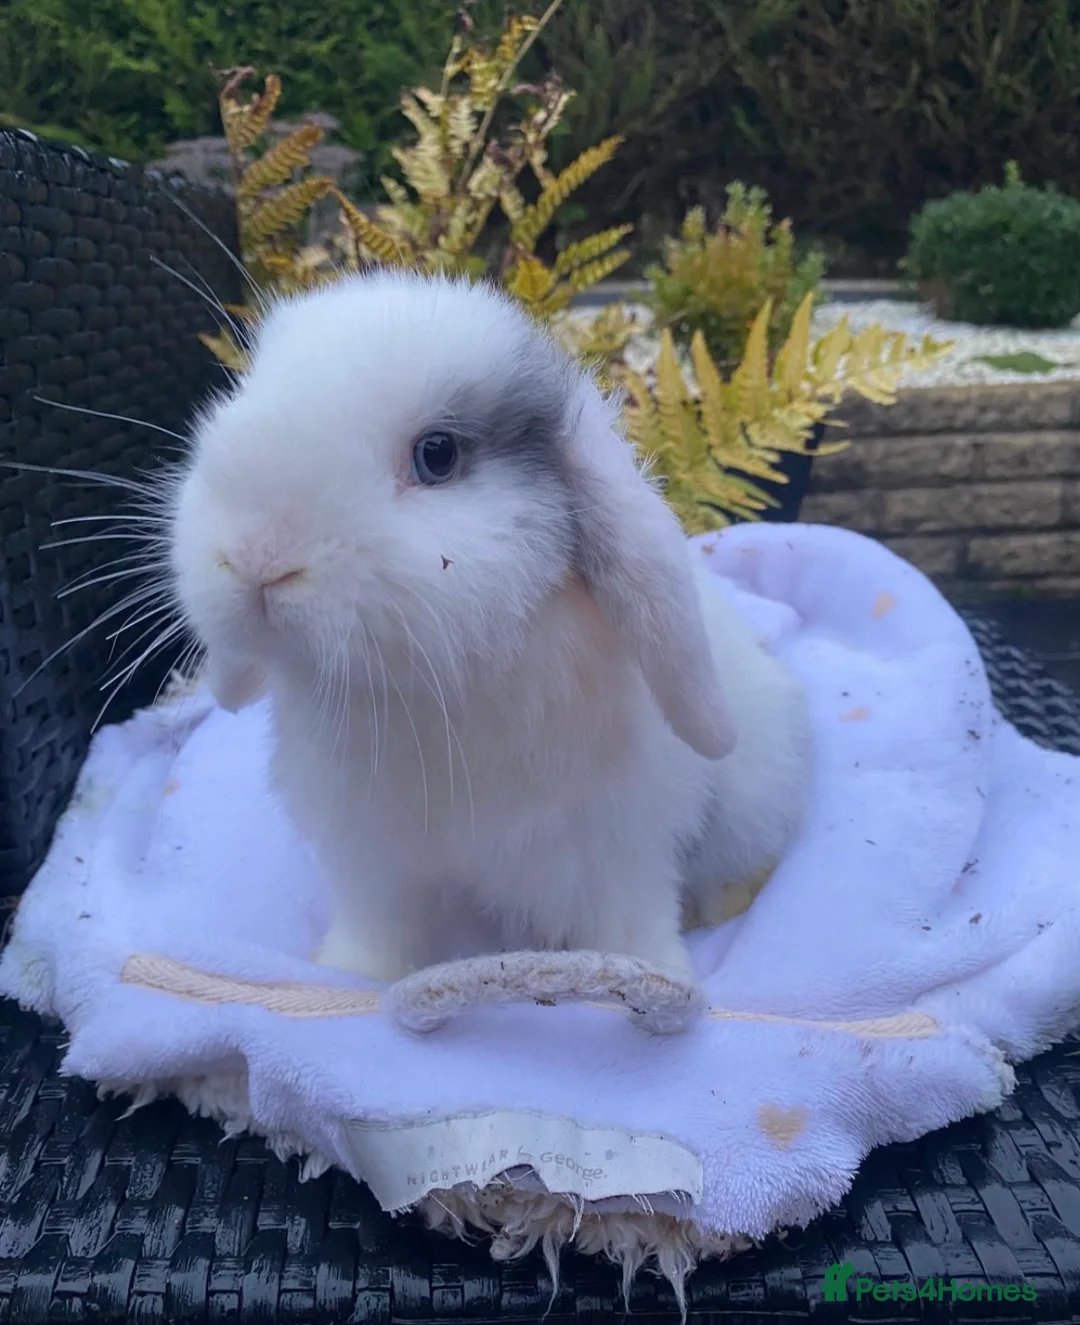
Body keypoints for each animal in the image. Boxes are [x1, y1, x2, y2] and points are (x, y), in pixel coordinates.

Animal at [168, 268, 811, 984]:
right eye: (244, 392)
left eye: (437, 455)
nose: (256, 560)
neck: (433, 697)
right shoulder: (375, 866)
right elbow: (379, 935)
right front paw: (348, 976)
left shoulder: (616, 856)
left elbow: (632, 926)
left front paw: (656, 978)